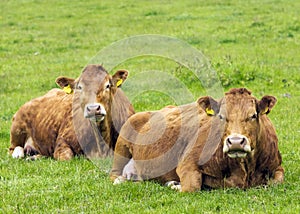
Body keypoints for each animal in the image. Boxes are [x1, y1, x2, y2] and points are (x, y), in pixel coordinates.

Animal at [110, 88, 284, 191]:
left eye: (253, 115)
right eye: (221, 116)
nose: (235, 142)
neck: (244, 170)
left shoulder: (277, 166)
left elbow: (277, 181)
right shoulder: (187, 163)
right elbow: (192, 187)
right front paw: (174, 185)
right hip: (121, 145)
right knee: (114, 174)